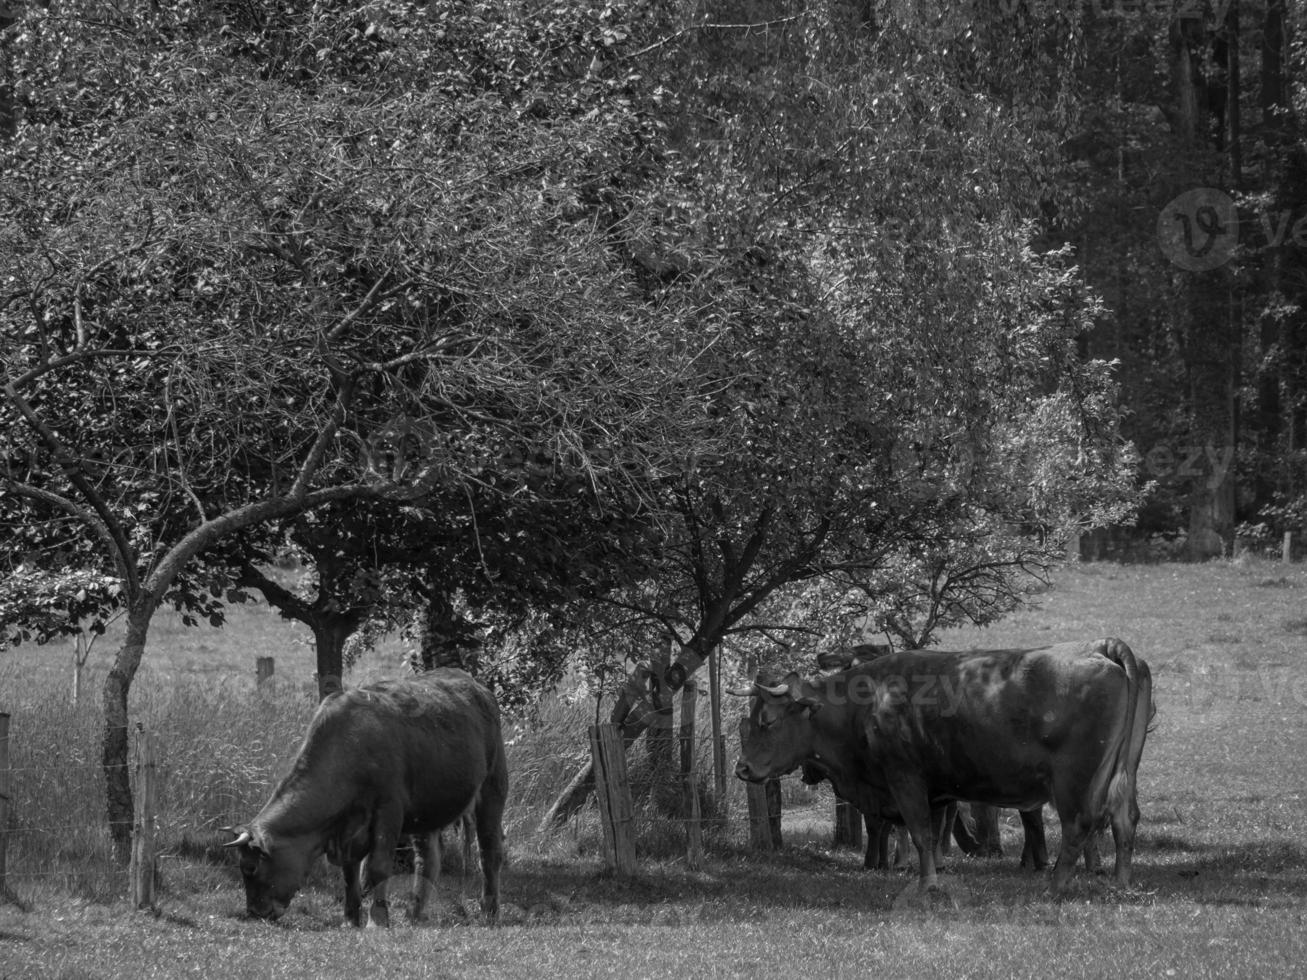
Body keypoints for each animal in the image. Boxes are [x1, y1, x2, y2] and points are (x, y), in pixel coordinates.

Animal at [227, 669, 507, 930]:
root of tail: (475, 685)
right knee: (427, 860)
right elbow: (350, 875)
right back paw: (414, 914)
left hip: (492, 790)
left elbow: (378, 867)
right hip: (426, 811)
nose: (255, 912)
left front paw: (377, 919)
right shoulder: (349, 832)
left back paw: (489, 912)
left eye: (250, 868)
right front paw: (350, 920)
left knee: (489, 853)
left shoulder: (389, 811)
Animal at [737, 640, 1155, 893]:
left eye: (768, 721)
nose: (742, 769)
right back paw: (1120, 883)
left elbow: (922, 833)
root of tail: (1100, 648)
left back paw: (1055, 886)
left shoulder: (905, 778)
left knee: (1080, 826)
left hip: (1074, 780)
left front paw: (928, 885)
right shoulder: (936, 791)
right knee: (1124, 819)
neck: (867, 701)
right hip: (1125, 773)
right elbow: (931, 834)